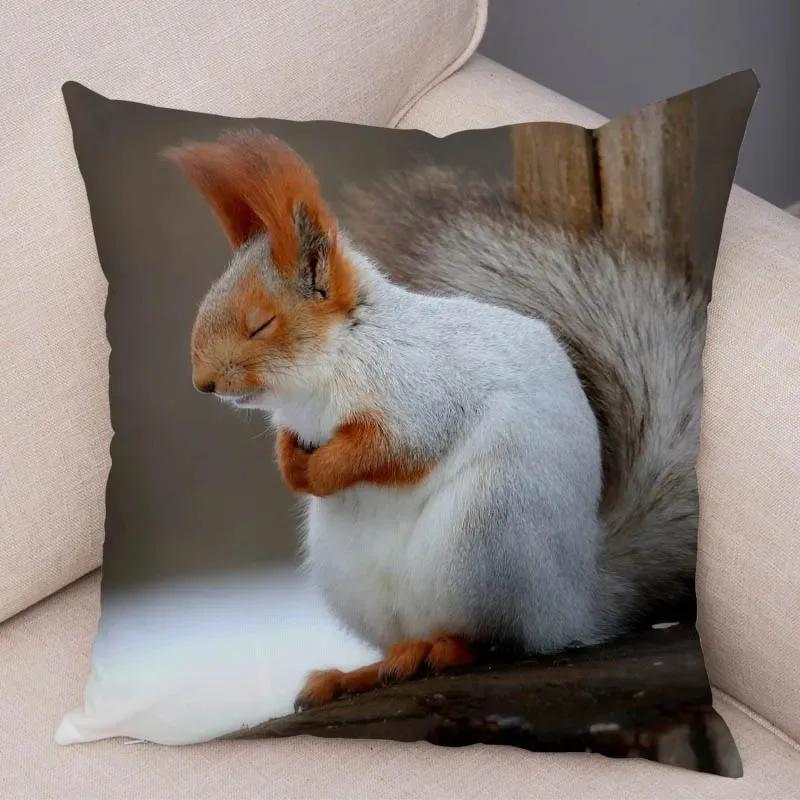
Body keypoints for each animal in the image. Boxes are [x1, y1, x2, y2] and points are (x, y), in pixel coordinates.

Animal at [168, 131, 703, 711]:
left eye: (261, 323)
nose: (203, 382)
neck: (326, 371)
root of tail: (575, 602)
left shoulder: (426, 396)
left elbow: (390, 449)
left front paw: (326, 470)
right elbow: (293, 446)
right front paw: (293, 469)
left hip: (486, 535)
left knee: (497, 637)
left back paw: (444, 650)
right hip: (356, 579)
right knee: (408, 638)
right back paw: (362, 671)